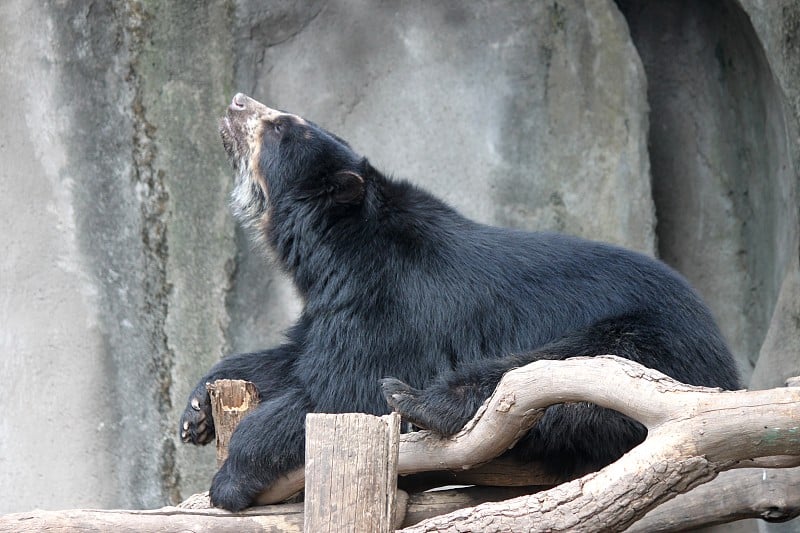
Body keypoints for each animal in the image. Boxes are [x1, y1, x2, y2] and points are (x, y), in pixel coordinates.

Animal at [180, 92, 736, 512]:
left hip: (654, 345)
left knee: (549, 370)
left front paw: (228, 480)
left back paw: (422, 403)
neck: (340, 247)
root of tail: (725, 362)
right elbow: (293, 357)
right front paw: (196, 412)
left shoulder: (396, 305)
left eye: (280, 127)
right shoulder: (336, 302)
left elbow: (340, 390)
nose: (236, 100)